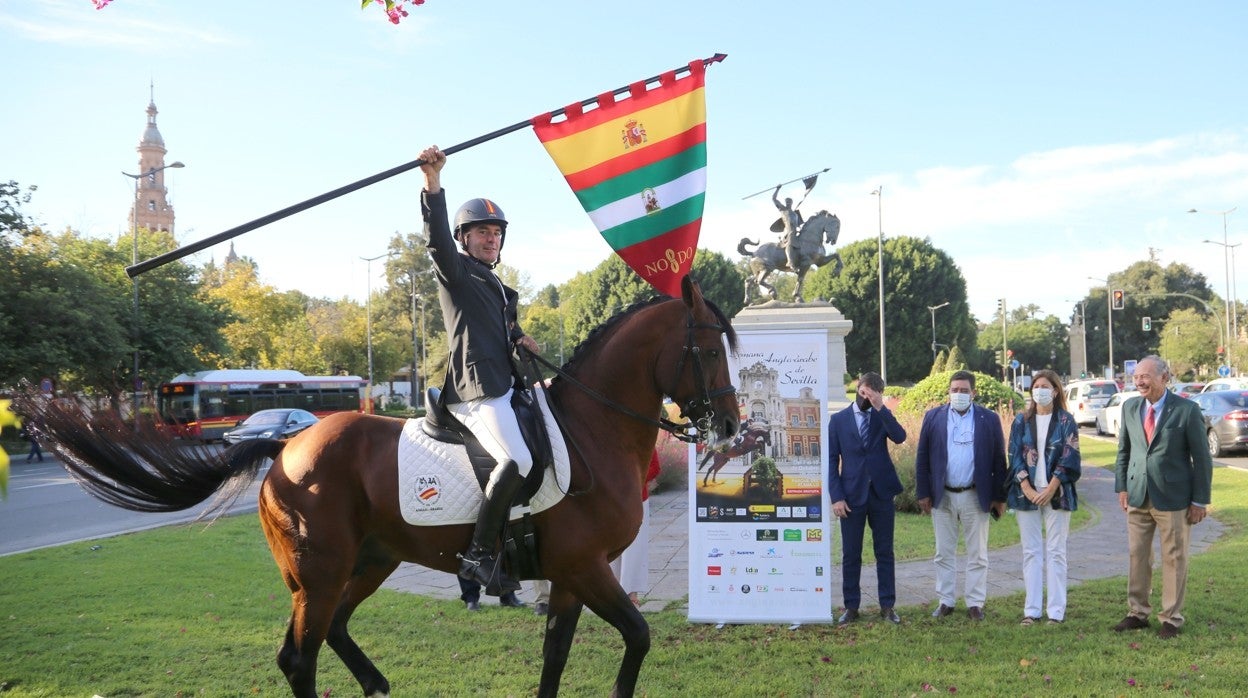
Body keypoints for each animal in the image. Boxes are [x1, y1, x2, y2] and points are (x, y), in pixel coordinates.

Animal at [14, 275, 738, 694]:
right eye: (709, 349)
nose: (730, 423)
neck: (590, 430)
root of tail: (286, 445)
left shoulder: (569, 574)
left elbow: (555, 655)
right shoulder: (587, 568)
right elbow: (637, 637)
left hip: (369, 561)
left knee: (331, 633)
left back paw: (378, 684)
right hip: (321, 572)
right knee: (300, 657)